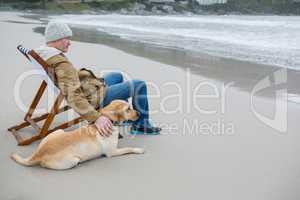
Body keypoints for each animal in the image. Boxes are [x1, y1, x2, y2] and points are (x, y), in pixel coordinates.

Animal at [12, 100, 146, 170]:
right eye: (128, 109)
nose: (139, 113)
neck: (109, 119)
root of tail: (38, 154)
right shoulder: (112, 152)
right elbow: (128, 148)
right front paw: (138, 149)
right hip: (73, 160)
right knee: (44, 165)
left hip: (58, 131)